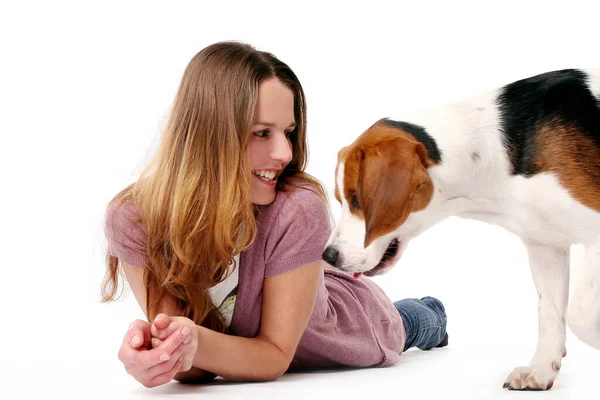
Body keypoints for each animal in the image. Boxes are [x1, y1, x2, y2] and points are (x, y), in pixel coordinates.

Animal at [324, 69, 600, 390]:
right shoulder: (545, 245)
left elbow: (580, 315)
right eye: (341, 199)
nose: (329, 256)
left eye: (357, 200)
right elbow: (551, 315)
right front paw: (541, 370)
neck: (491, 151)